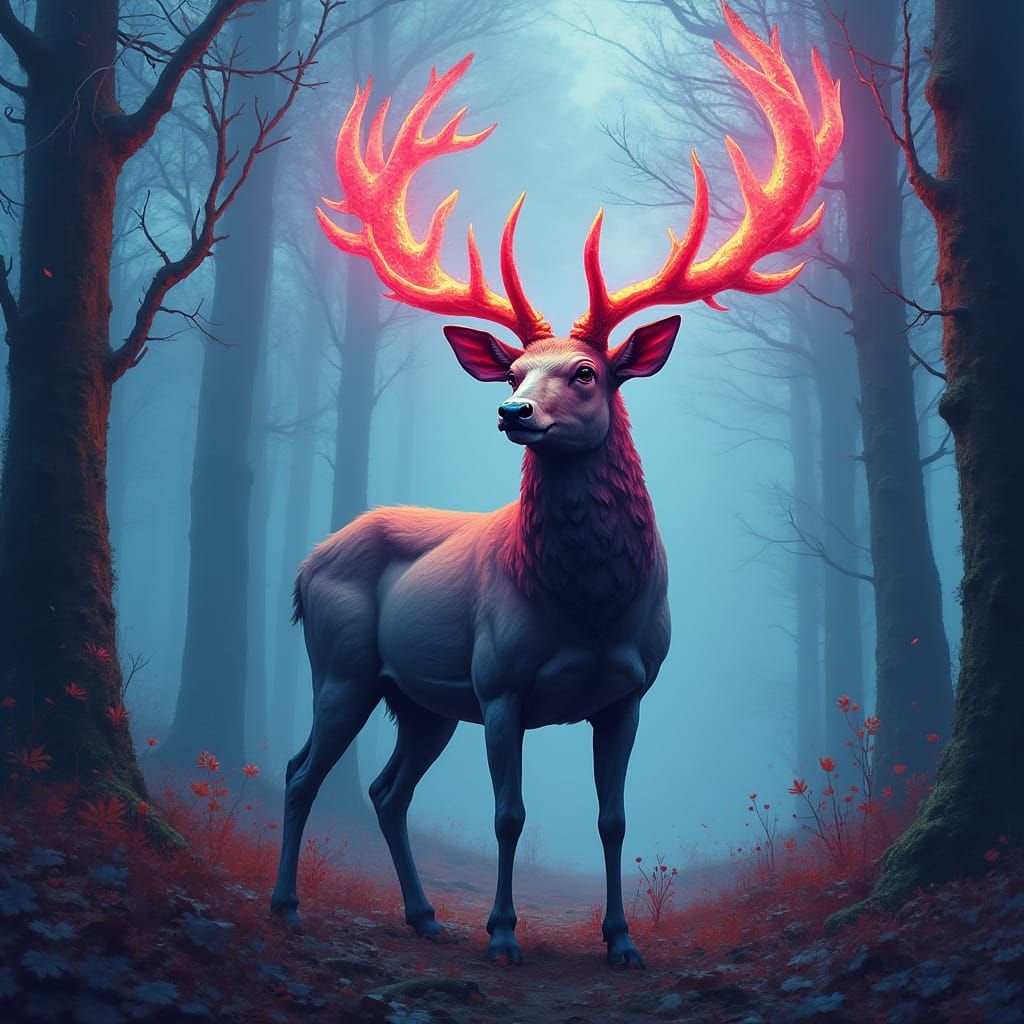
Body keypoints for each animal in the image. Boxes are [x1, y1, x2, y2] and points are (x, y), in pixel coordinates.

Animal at [271, 3, 842, 967]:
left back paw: (424, 915)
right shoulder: (501, 686)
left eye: (586, 372)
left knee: (387, 790)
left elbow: (613, 820)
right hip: (343, 665)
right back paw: (286, 905)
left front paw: (621, 941)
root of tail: (306, 566)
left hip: (419, 698)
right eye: (515, 369)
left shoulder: (630, 690)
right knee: (300, 768)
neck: (587, 607)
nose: (512, 411)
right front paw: (503, 934)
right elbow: (510, 816)